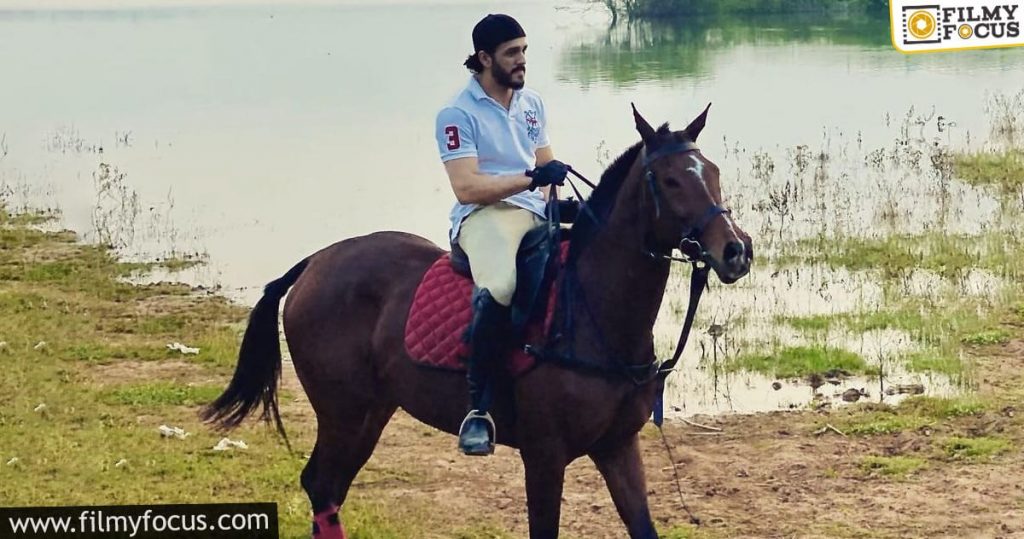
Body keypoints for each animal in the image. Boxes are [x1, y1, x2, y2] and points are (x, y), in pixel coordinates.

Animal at [202, 104, 753, 539]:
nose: (736, 251)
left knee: (328, 489)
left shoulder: (618, 448)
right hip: (343, 411)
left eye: (713, 171)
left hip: (372, 411)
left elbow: (643, 525)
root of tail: (316, 261)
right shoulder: (544, 457)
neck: (593, 315)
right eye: (670, 180)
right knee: (321, 486)